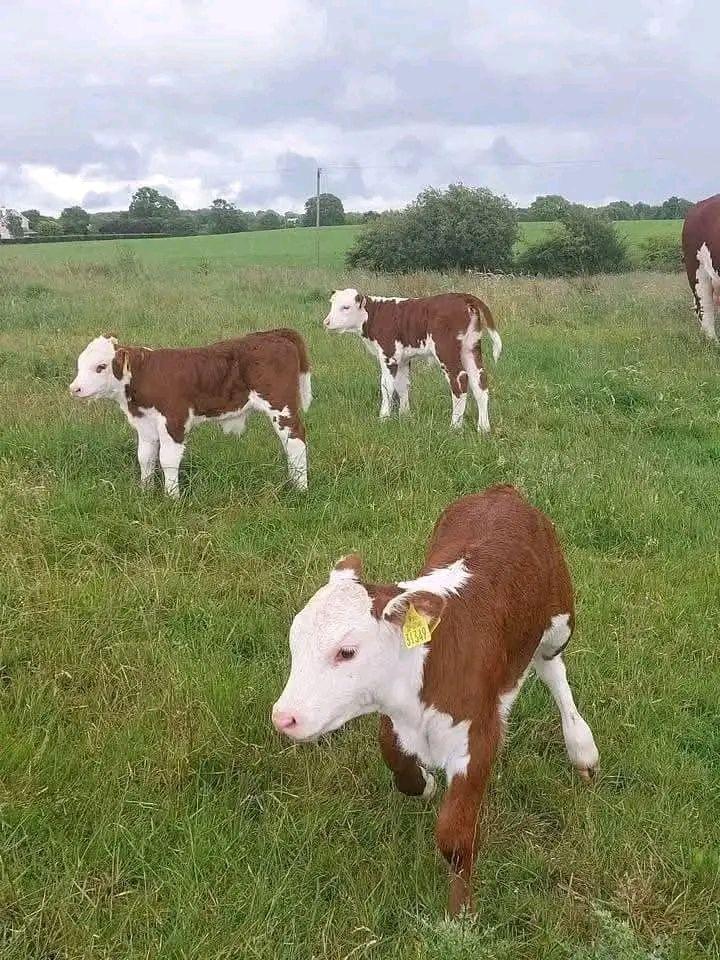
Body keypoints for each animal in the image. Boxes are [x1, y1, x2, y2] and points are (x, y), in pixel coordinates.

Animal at [69, 329, 312, 495]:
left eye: (101, 366)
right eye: (80, 365)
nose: (74, 388)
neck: (146, 375)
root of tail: (274, 333)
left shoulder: (174, 420)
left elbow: (167, 459)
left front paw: (172, 498)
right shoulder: (145, 424)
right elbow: (145, 457)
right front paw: (145, 491)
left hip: (281, 407)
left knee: (295, 441)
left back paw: (300, 488)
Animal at [272, 485, 599, 914]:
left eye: (347, 652)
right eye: (294, 639)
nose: (283, 717)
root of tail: (503, 491)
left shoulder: (479, 733)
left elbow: (454, 835)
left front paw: (460, 914)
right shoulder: (394, 716)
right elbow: (397, 762)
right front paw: (424, 783)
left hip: (560, 618)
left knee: (552, 668)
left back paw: (582, 747)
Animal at [323, 289, 502, 432]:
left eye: (346, 307)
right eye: (332, 305)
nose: (326, 322)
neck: (375, 315)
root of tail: (462, 296)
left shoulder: (388, 355)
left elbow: (386, 386)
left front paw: (384, 418)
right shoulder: (403, 359)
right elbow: (403, 385)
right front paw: (405, 416)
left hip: (446, 351)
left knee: (460, 380)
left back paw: (455, 427)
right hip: (470, 349)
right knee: (479, 382)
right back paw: (483, 428)